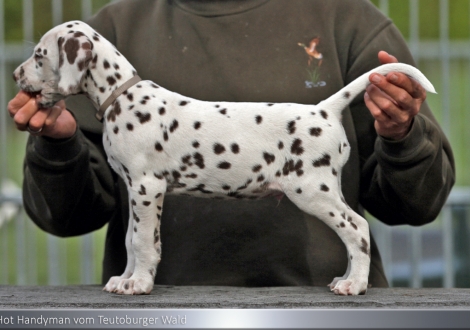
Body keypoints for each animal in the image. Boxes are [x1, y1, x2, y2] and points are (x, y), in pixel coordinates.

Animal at [11, 20, 436, 296]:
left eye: (39, 56)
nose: (15, 75)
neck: (123, 96)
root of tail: (325, 110)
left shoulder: (147, 188)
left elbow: (145, 242)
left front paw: (140, 284)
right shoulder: (133, 189)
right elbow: (132, 239)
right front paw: (125, 279)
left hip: (312, 190)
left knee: (357, 229)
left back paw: (355, 284)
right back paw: (345, 278)